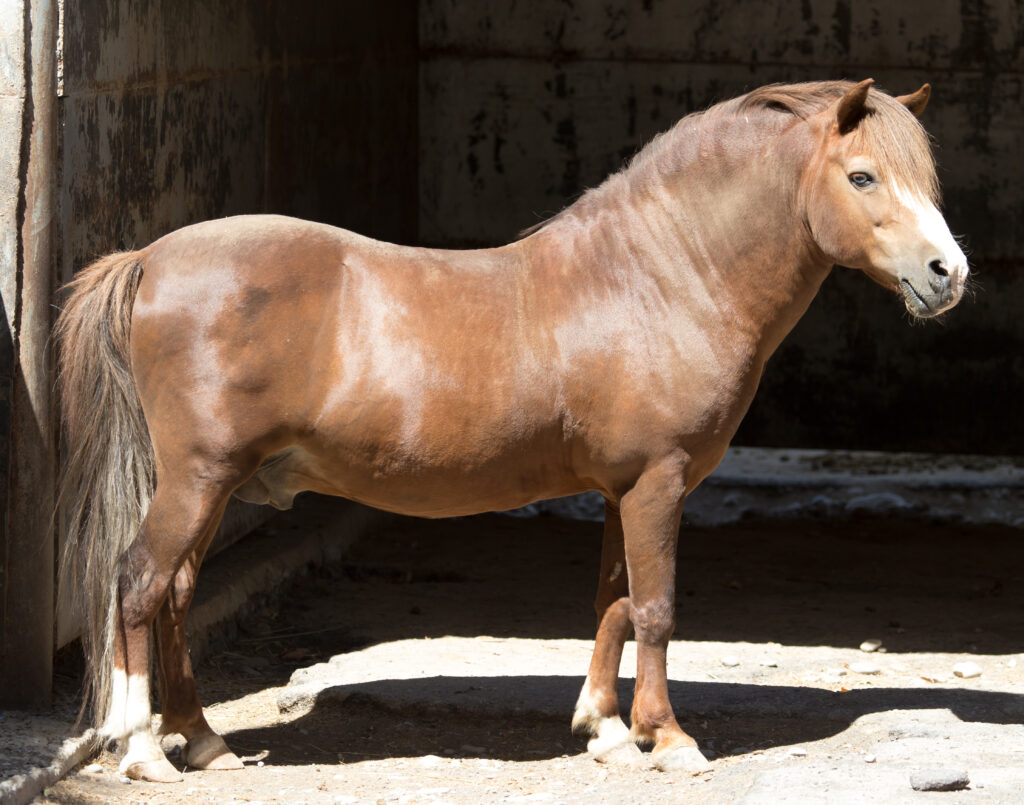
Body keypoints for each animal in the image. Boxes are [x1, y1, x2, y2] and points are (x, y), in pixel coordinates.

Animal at [56, 79, 968, 782]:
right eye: (862, 175)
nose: (948, 274)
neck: (658, 277)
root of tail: (150, 258)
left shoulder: (620, 488)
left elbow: (614, 603)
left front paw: (605, 730)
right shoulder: (659, 482)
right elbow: (658, 607)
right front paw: (668, 737)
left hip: (216, 485)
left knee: (174, 592)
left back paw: (204, 739)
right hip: (198, 475)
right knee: (138, 582)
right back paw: (143, 750)